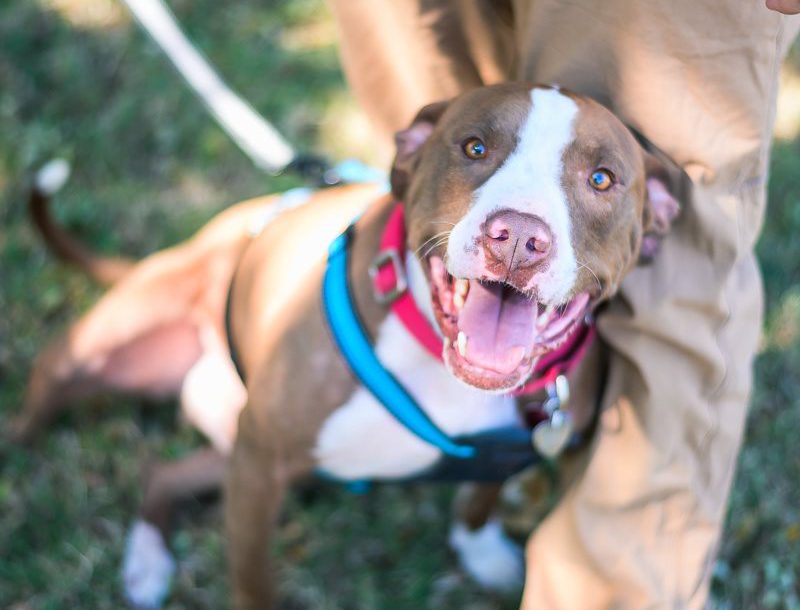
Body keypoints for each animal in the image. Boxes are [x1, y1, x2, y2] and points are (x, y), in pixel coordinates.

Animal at [14, 83, 676, 604]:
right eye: (474, 147)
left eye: (602, 179)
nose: (516, 238)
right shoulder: (261, 466)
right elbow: (253, 581)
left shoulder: (518, 446)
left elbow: (480, 498)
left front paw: (481, 550)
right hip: (103, 355)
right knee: (40, 401)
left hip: (233, 445)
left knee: (162, 475)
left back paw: (148, 561)